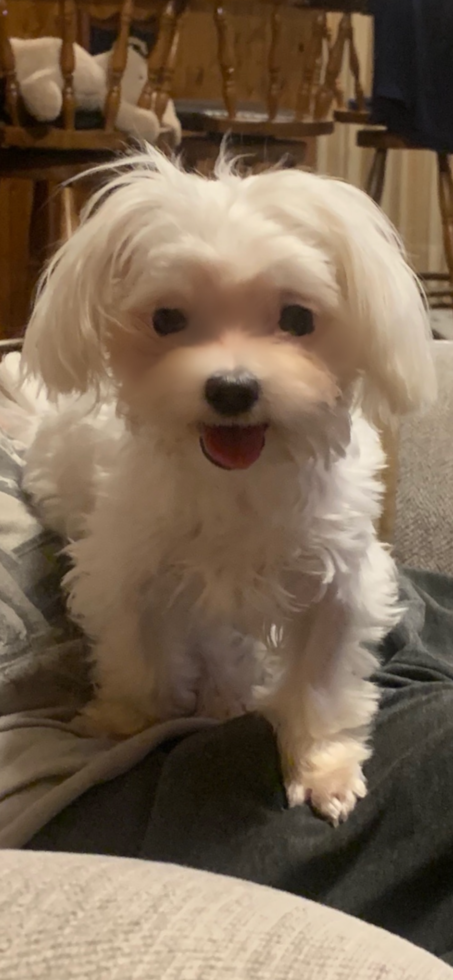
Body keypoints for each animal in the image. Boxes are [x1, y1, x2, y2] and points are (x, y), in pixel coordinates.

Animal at [17, 149, 434, 828]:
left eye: (298, 318)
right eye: (166, 319)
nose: (232, 389)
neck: (239, 480)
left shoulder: (339, 581)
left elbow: (320, 681)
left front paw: (320, 765)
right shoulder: (129, 570)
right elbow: (138, 656)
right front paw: (126, 722)